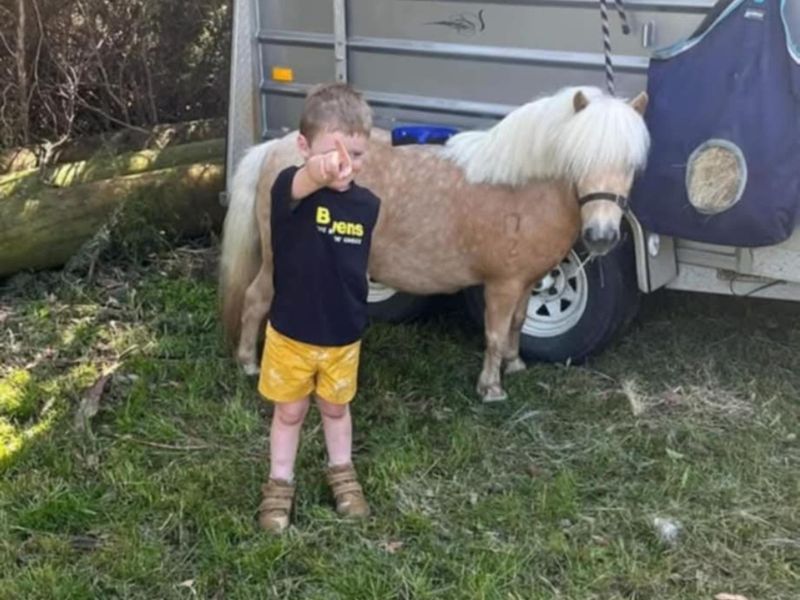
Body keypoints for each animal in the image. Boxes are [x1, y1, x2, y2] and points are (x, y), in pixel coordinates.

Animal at [219, 85, 650, 401]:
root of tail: (277, 148)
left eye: (630, 165)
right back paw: (248, 363)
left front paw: (514, 365)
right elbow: (494, 333)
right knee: (257, 298)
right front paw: (491, 388)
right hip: (278, 261)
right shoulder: (501, 285)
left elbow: (516, 324)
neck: (519, 188)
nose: (601, 236)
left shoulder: (526, 282)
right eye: (579, 160)